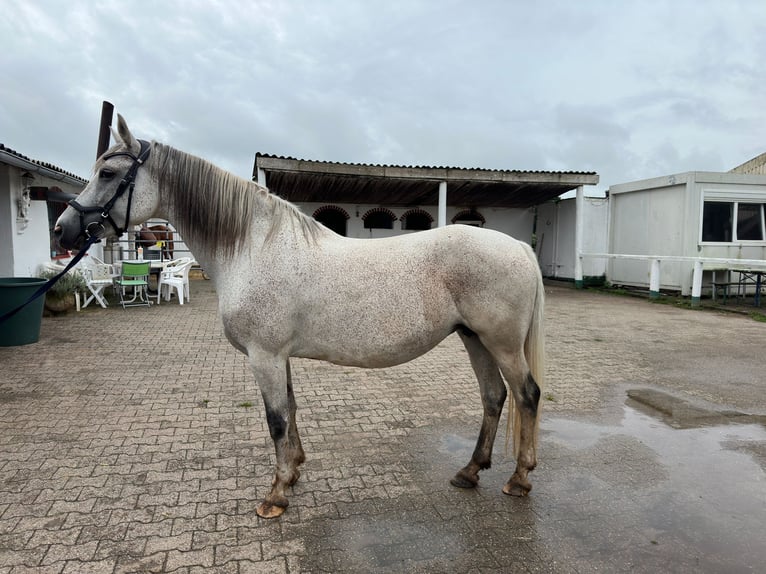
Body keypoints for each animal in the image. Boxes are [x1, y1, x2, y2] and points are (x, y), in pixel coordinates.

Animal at [55, 113, 544, 520]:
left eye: (108, 173)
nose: (63, 229)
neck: (254, 246)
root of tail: (520, 246)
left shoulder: (264, 355)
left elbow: (275, 420)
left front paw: (275, 497)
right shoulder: (276, 356)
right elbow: (289, 409)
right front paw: (293, 473)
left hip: (500, 342)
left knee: (526, 395)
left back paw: (519, 479)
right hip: (473, 338)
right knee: (493, 397)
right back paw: (469, 471)